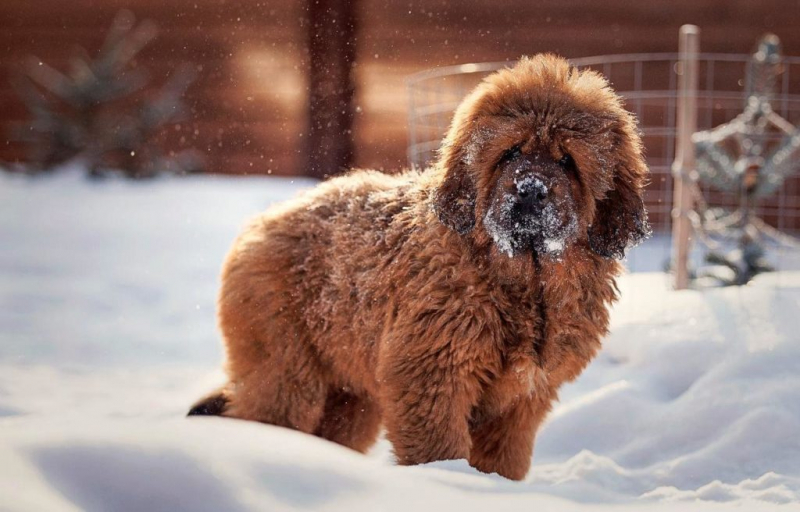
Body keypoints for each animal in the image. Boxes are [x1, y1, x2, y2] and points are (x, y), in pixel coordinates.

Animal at [192, 55, 648, 480]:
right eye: (511, 153)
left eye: (567, 161)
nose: (531, 190)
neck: (523, 283)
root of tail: (263, 220)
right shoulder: (433, 375)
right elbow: (439, 448)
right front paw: (445, 481)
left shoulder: (523, 399)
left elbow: (503, 459)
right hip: (287, 372)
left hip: (349, 398)